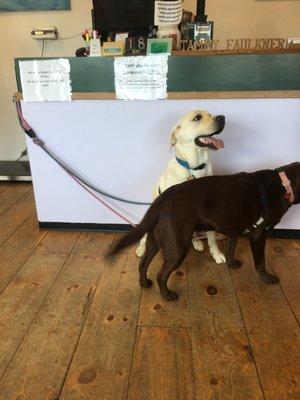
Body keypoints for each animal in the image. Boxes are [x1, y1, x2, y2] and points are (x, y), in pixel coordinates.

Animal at [110, 162, 300, 300]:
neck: (284, 184)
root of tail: (161, 199)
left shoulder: (233, 230)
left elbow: (230, 250)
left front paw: (231, 264)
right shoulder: (259, 235)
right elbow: (260, 262)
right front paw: (268, 278)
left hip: (155, 240)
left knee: (143, 264)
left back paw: (144, 283)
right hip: (178, 247)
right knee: (161, 275)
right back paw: (167, 296)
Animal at [137, 111, 226, 264]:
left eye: (210, 114)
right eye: (197, 117)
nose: (223, 118)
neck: (194, 168)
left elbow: (212, 238)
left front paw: (217, 254)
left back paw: (196, 242)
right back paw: (142, 248)